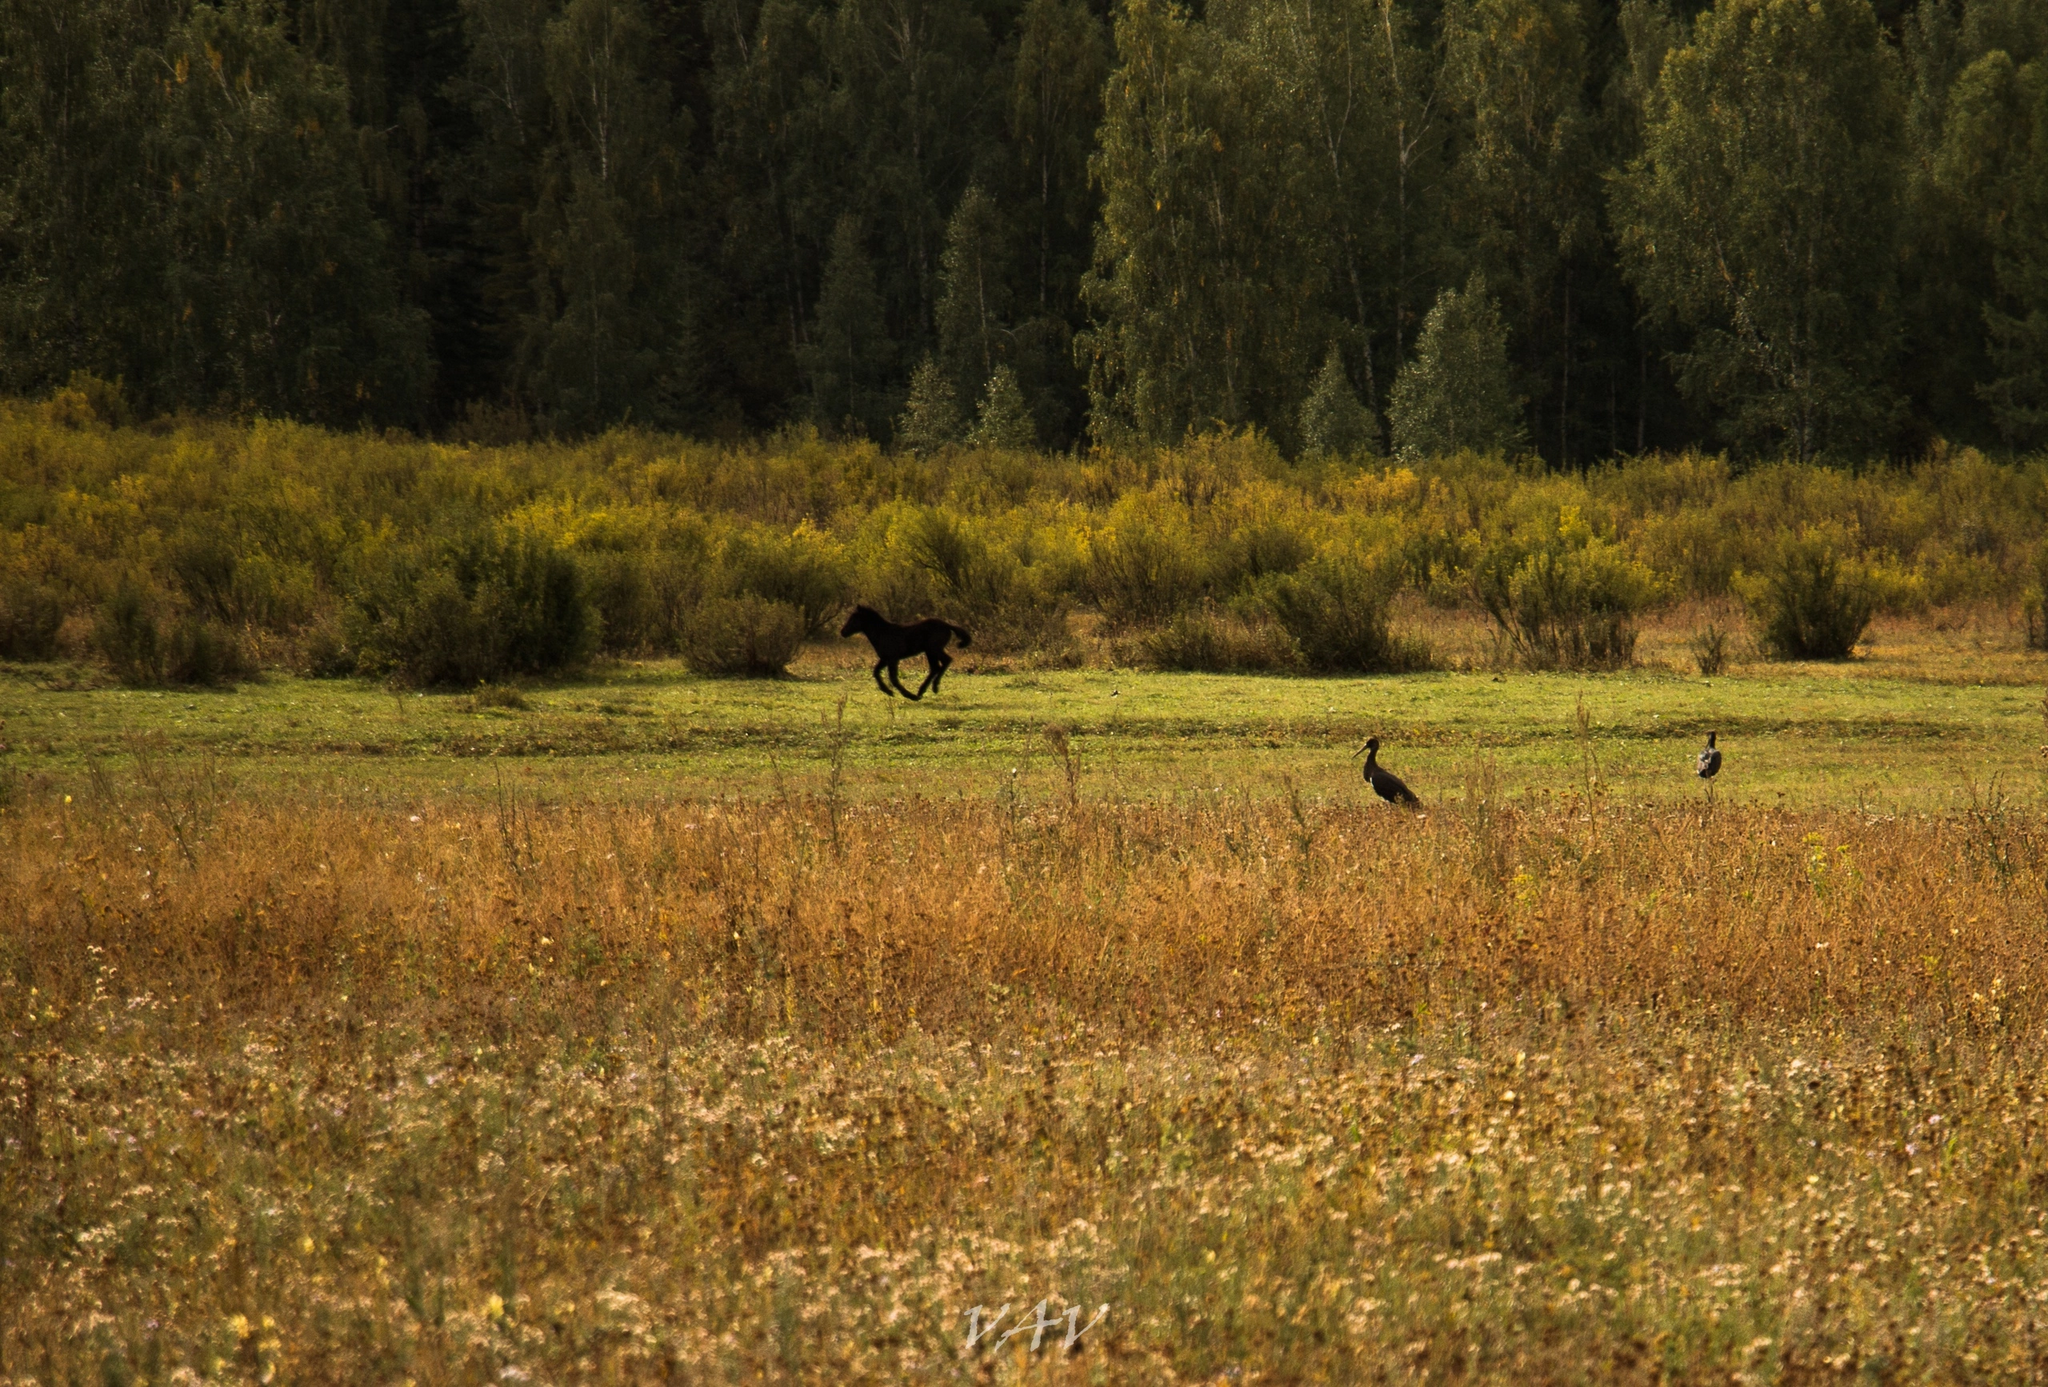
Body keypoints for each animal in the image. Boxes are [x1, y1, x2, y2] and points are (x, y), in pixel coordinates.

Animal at [835, 602, 970, 696]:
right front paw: (888, 691)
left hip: (933, 649)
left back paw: (926, 690)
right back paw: (927, 689)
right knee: (939, 665)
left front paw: (907, 695)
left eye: (854, 618)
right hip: (932, 651)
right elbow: (876, 672)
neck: (883, 633)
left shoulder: (893, 658)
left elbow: (893, 678)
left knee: (942, 663)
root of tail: (947, 625)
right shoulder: (885, 659)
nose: (843, 632)